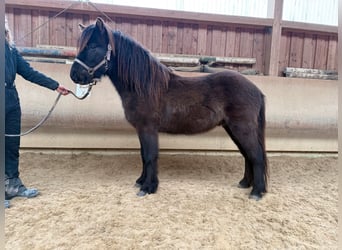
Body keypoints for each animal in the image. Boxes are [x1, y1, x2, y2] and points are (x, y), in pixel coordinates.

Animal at [69, 17, 268, 200]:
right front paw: (141, 181)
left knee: (256, 155)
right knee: (248, 155)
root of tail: (257, 90)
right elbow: (143, 155)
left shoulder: (148, 128)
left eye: (93, 47)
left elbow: (150, 156)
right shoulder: (141, 130)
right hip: (233, 129)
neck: (143, 86)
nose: (74, 75)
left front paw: (148, 188)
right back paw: (245, 183)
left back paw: (256, 192)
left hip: (242, 128)